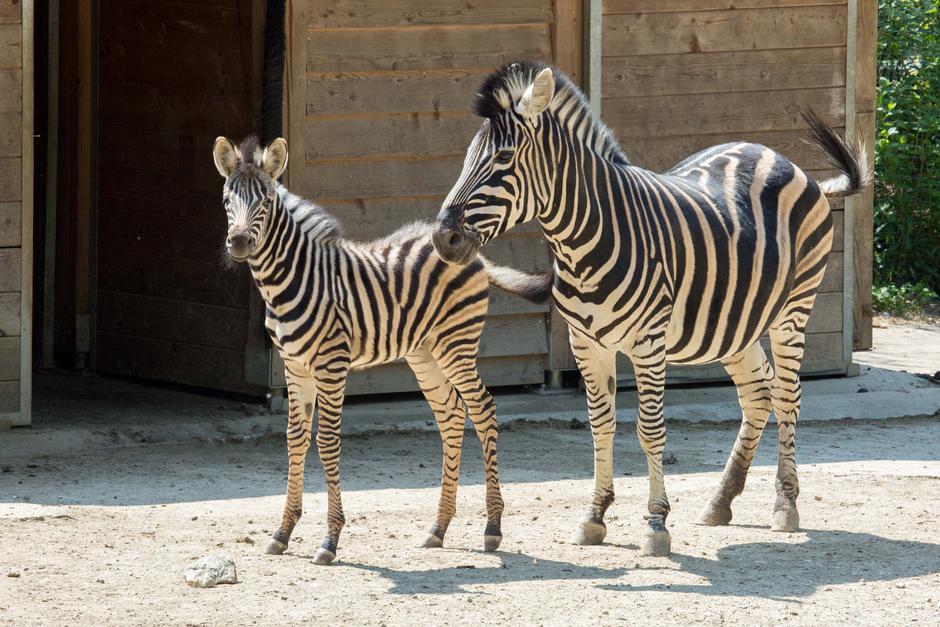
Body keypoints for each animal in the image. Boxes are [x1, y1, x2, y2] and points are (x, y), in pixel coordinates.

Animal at [212, 135, 551, 564]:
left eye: (266, 202)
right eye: (227, 200)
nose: (239, 242)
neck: (292, 278)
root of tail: (469, 249)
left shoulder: (331, 365)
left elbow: (327, 441)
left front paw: (330, 540)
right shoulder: (294, 367)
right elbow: (294, 439)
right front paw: (282, 532)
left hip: (456, 344)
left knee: (483, 410)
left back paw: (492, 528)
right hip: (424, 353)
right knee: (451, 416)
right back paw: (438, 528)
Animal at [432, 61, 869, 557]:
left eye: (503, 159)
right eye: (468, 157)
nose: (443, 238)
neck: (584, 240)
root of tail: (780, 157)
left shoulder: (648, 343)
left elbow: (649, 429)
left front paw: (657, 524)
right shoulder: (586, 344)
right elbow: (601, 425)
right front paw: (595, 516)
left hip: (793, 311)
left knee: (788, 395)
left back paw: (785, 506)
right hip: (736, 324)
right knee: (759, 392)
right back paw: (721, 501)